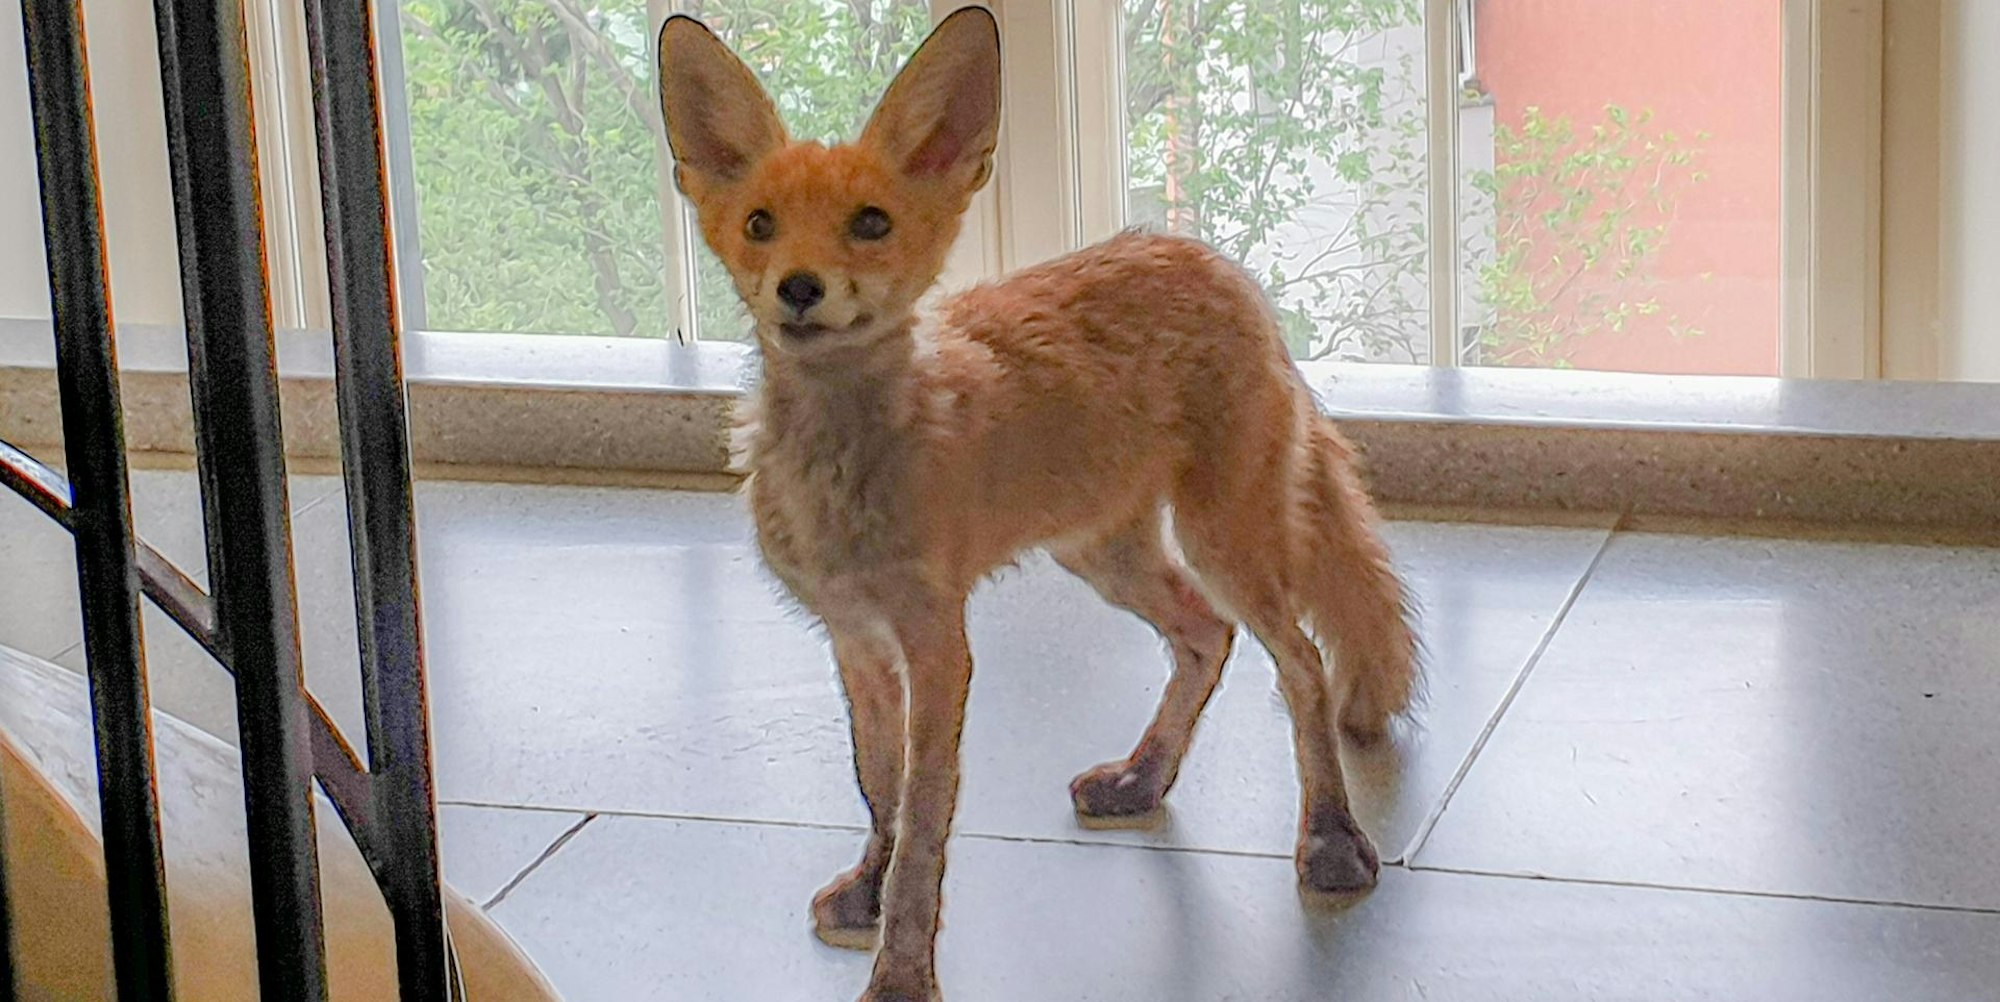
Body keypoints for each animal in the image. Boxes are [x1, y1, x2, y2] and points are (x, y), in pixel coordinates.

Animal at [657, 7, 1420, 1000]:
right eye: (759, 224)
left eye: (870, 223)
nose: (798, 288)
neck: (844, 481)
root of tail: (1203, 254)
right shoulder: (854, 637)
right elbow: (878, 790)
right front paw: (868, 893)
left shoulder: (939, 644)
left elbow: (924, 826)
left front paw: (902, 969)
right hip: (1103, 552)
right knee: (1204, 635)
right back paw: (1145, 779)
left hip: (1224, 539)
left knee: (1303, 667)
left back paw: (1329, 838)